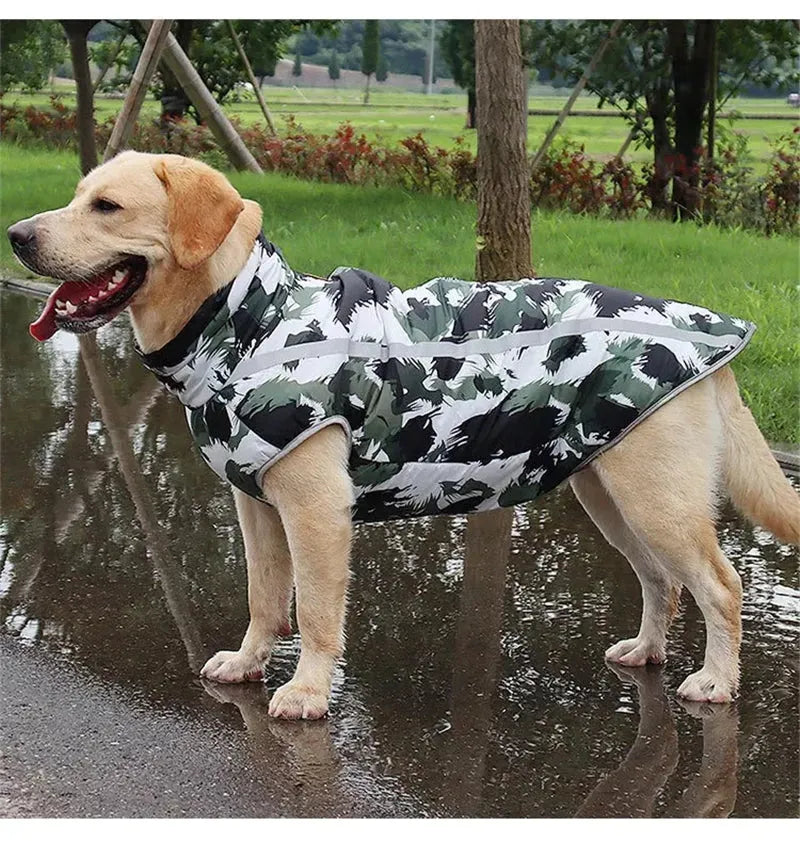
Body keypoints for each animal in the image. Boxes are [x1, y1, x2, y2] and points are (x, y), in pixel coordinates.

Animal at [7, 151, 800, 716]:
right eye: (77, 196)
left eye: (107, 206)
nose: (16, 233)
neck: (244, 318)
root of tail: (713, 334)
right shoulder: (255, 505)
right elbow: (265, 596)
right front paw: (249, 661)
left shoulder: (316, 511)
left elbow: (316, 610)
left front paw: (306, 692)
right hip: (607, 488)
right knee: (663, 581)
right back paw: (646, 652)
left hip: (654, 495)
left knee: (720, 585)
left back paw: (716, 681)